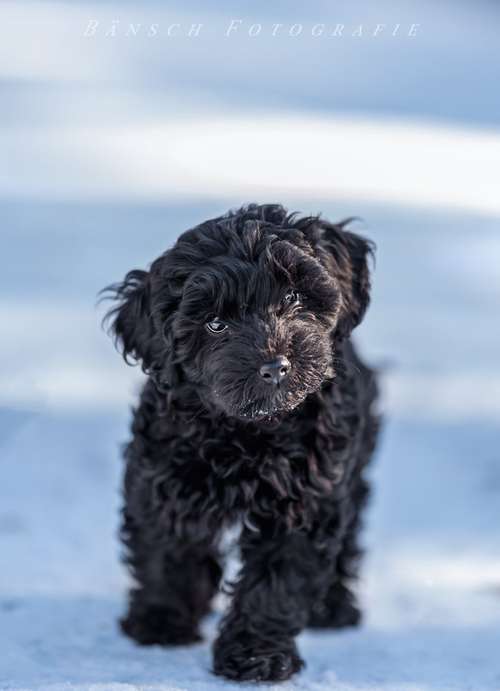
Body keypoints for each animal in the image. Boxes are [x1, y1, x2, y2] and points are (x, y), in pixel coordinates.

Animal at [104, 204, 378, 680]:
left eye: (294, 297)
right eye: (215, 323)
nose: (275, 366)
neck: (250, 431)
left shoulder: (307, 499)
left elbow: (275, 581)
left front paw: (256, 656)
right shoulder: (161, 472)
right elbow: (165, 547)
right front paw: (161, 621)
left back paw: (333, 607)